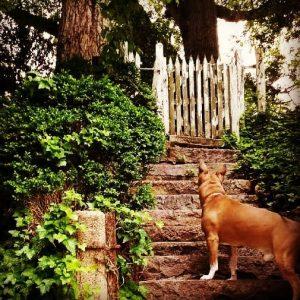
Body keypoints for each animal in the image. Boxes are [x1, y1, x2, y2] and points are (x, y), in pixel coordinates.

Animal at [199, 162, 300, 300]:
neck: (213, 196)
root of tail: (293, 224)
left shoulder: (212, 239)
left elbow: (213, 262)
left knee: (297, 283)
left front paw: (209, 276)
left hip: (284, 261)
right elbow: (232, 264)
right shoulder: (233, 246)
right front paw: (233, 278)